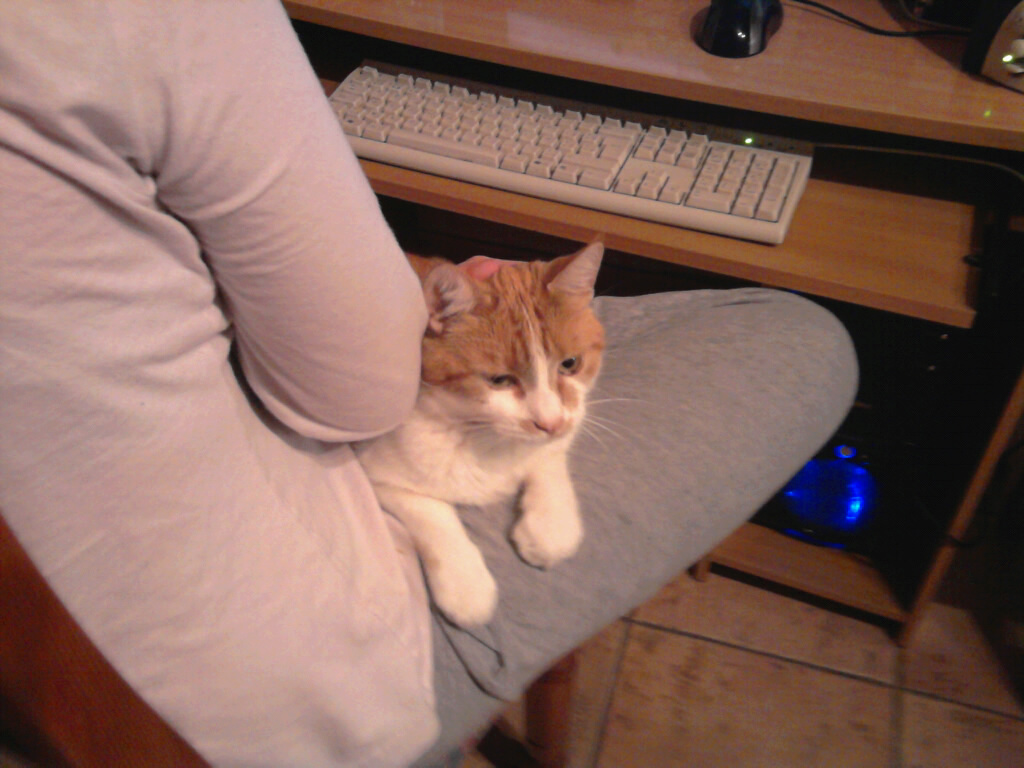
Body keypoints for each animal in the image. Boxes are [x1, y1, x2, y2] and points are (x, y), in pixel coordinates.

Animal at [355, 242, 605, 627]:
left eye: (570, 364)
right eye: (500, 380)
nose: (548, 423)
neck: (483, 436)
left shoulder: (565, 426)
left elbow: (549, 460)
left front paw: (550, 526)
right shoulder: (379, 476)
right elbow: (434, 517)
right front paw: (466, 584)